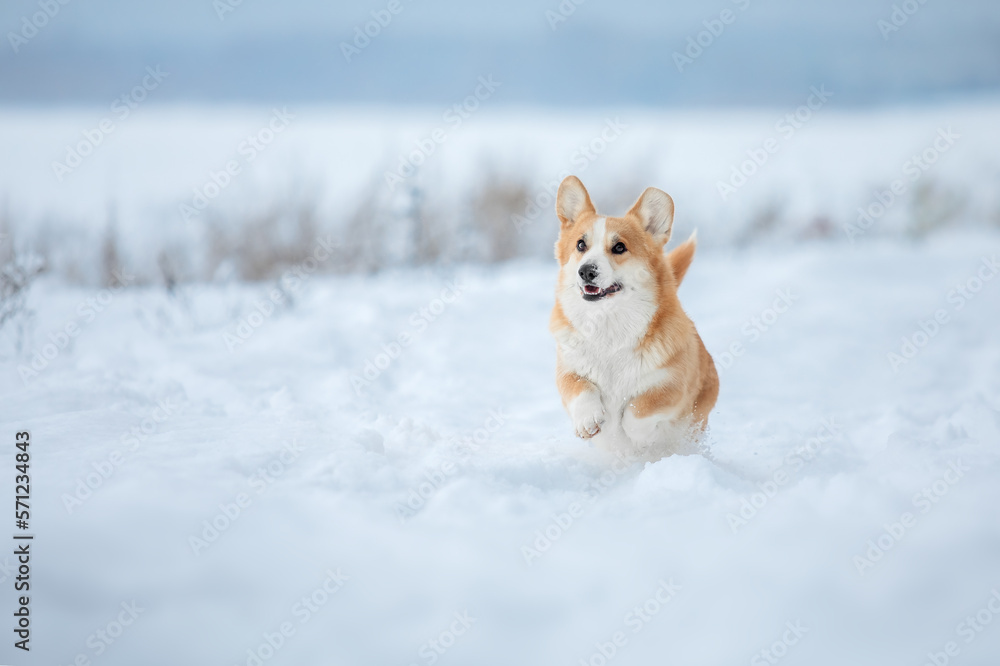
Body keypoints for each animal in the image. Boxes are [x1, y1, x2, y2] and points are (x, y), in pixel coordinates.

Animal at [548, 176, 720, 456]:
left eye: (619, 247)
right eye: (580, 245)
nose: (586, 271)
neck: (608, 323)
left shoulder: (672, 383)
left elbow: (639, 409)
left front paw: (640, 438)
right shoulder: (568, 369)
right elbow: (579, 388)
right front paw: (588, 421)